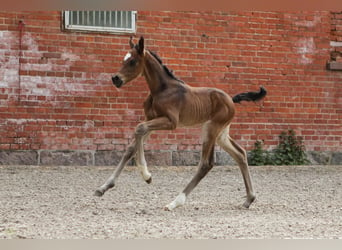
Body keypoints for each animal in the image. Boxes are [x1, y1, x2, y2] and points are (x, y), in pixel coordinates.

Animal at [95, 36, 266, 210]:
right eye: (124, 59)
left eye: (132, 61)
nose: (115, 78)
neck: (162, 90)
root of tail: (231, 100)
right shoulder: (151, 119)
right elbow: (131, 146)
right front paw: (104, 187)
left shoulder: (171, 122)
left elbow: (138, 129)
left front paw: (146, 175)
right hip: (220, 134)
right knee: (240, 154)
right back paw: (249, 199)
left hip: (211, 129)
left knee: (206, 164)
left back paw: (175, 202)